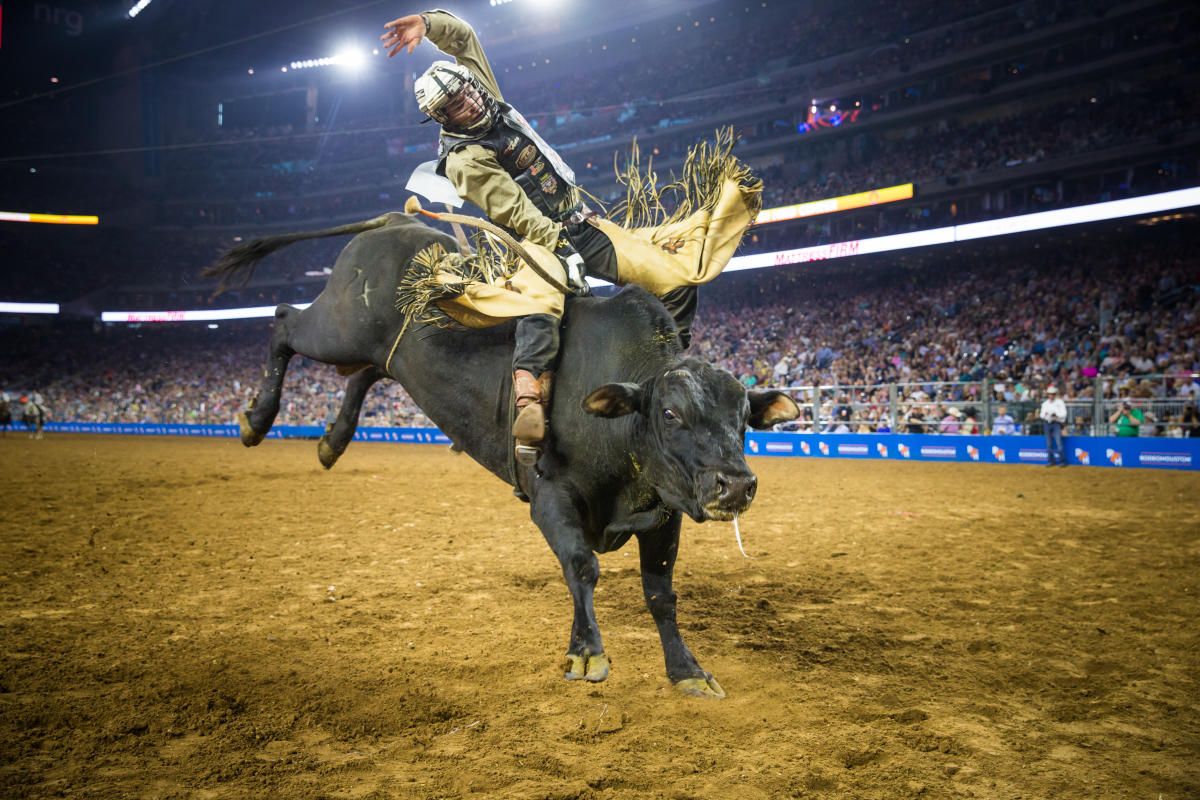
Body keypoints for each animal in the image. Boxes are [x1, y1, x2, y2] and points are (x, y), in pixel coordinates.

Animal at [205, 212, 796, 700]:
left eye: (744, 417)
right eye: (670, 414)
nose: (735, 485)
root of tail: (396, 224)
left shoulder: (663, 513)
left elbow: (661, 594)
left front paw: (687, 671)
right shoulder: (551, 497)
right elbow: (581, 566)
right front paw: (587, 654)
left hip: (377, 351)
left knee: (368, 371)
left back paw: (331, 441)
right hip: (339, 326)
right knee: (285, 320)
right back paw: (256, 420)